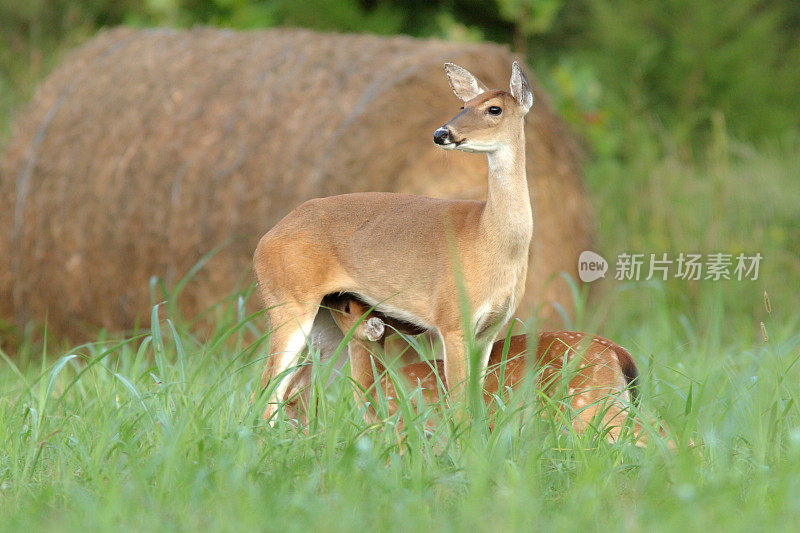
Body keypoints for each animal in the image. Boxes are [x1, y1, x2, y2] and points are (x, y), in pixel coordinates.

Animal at [253, 61, 536, 420]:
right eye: (462, 106)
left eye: (494, 109)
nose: (441, 133)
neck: (489, 238)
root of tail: (264, 241)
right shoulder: (451, 319)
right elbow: (459, 404)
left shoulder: (490, 329)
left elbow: (476, 399)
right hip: (287, 300)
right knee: (265, 392)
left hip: (327, 318)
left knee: (295, 387)